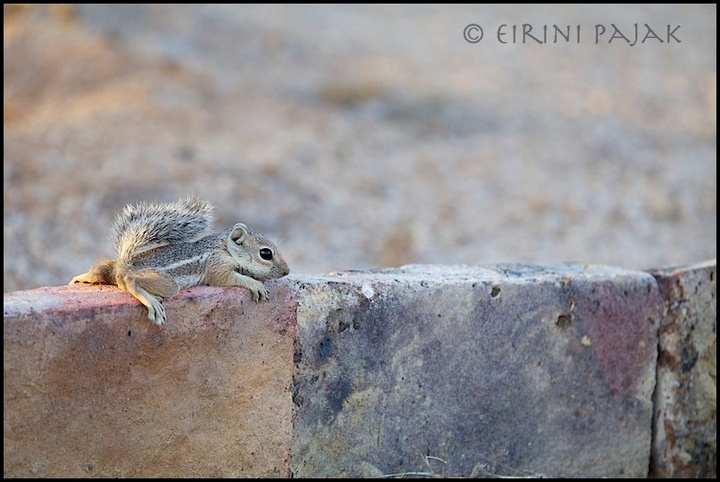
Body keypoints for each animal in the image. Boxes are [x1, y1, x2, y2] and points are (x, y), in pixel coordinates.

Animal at [69, 195, 290, 326]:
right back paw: (151, 302)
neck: (223, 247)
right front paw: (255, 284)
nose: (287, 271)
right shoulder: (217, 265)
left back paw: (81, 278)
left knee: (101, 269)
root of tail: (124, 265)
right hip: (167, 283)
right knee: (131, 282)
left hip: (112, 268)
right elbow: (227, 278)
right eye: (266, 253)